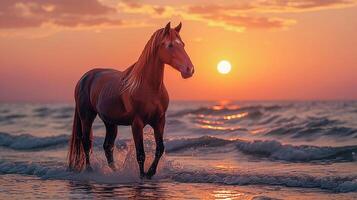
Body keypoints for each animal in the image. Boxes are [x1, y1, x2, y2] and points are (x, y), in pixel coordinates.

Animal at [67, 21, 195, 178]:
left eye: (182, 44)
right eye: (170, 45)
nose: (189, 69)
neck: (149, 88)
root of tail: (84, 78)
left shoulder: (159, 121)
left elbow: (160, 148)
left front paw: (150, 172)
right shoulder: (137, 123)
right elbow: (140, 154)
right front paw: (142, 176)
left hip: (110, 122)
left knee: (108, 147)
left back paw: (116, 171)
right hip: (87, 118)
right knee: (86, 142)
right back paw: (90, 170)